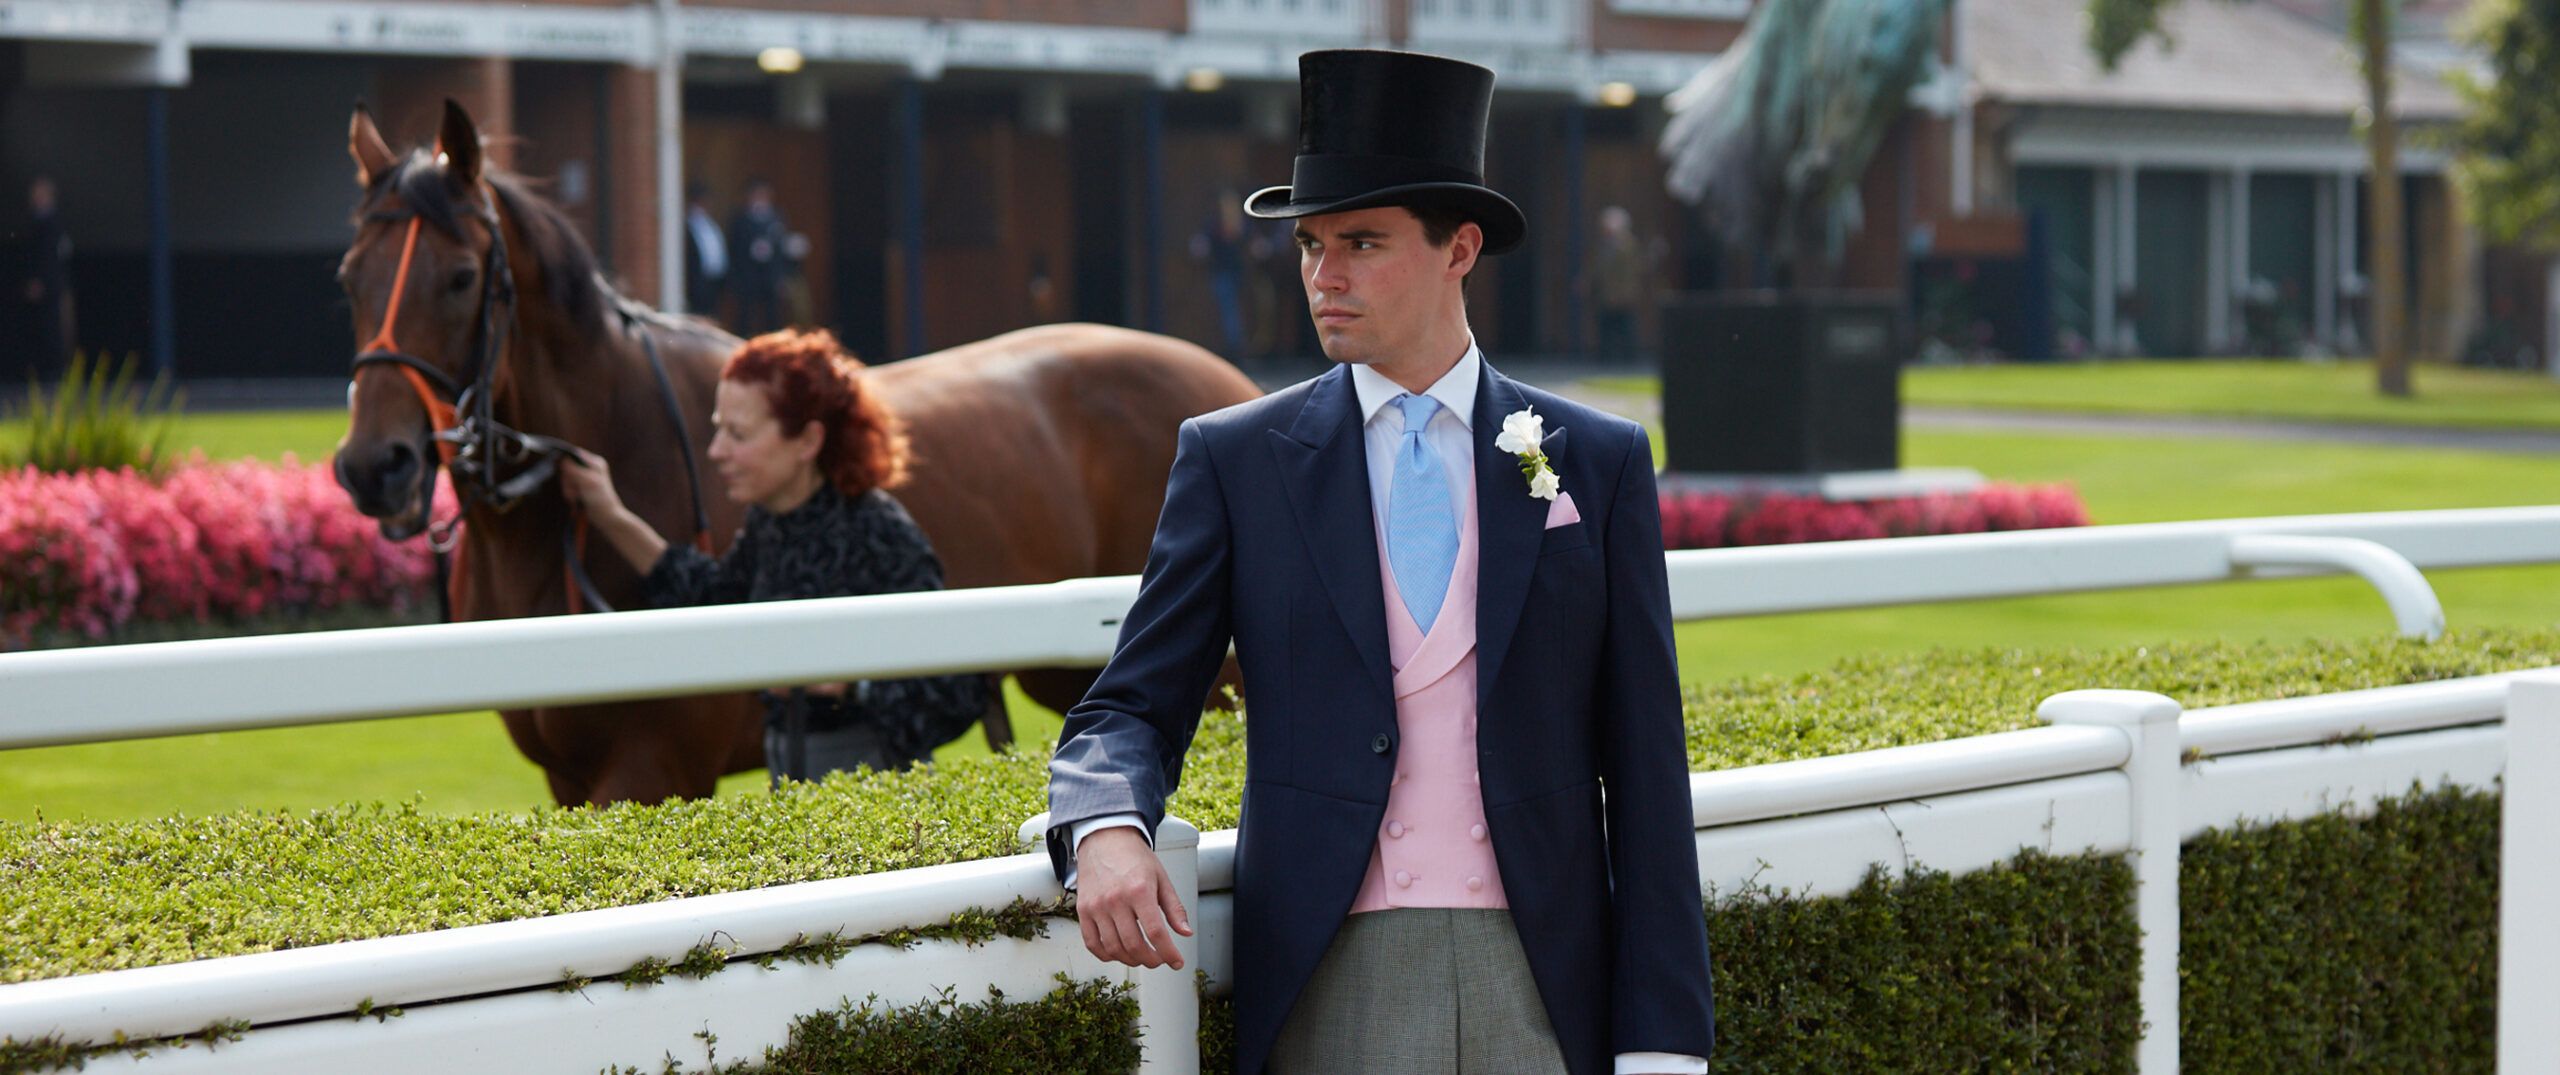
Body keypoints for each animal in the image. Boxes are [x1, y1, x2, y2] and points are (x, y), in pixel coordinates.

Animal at [340, 103, 1259, 808]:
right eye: (349, 275)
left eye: (461, 277)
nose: (372, 465)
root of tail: (1232, 380)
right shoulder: (568, 776)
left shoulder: (655, 767)